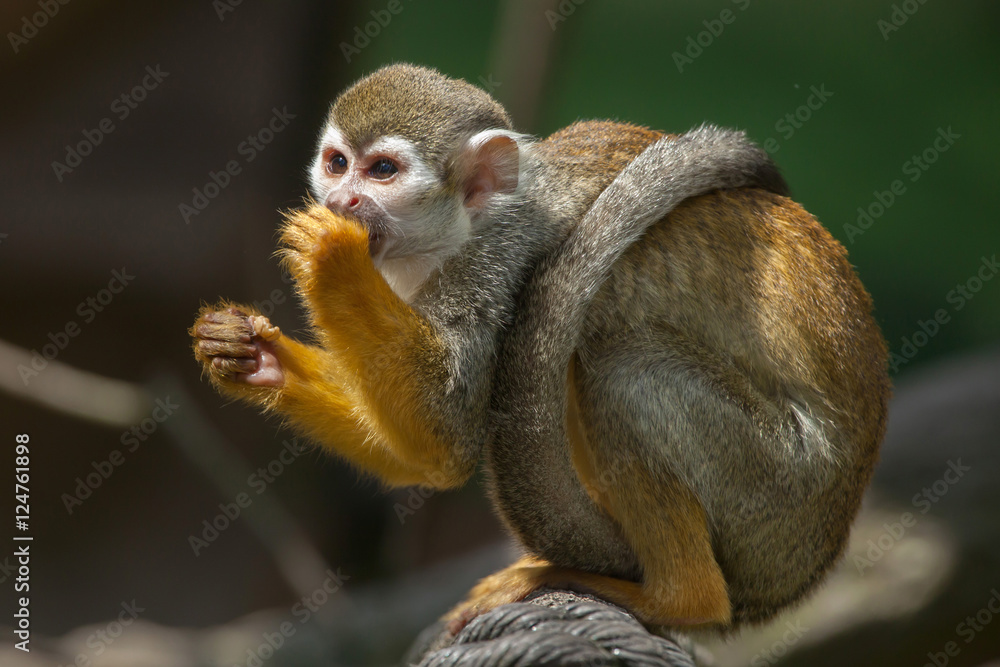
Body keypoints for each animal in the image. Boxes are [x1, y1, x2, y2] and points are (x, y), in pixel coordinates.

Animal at [190, 64, 887, 633]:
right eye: (337, 163)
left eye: (382, 170)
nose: (342, 200)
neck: (463, 227)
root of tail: (794, 576)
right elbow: (426, 457)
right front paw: (254, 359)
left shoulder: (499, 261)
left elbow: (445, 438)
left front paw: (331, 257)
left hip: (779, 487)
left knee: (629, 374)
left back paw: (678, 598)